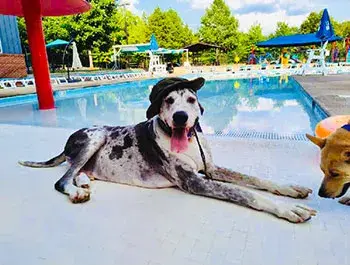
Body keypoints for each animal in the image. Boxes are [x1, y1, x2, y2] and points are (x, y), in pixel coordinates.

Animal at [17, 77, 316, 222]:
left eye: (191, 99)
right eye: (169, 100)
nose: (181, 117)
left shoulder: (211, 169)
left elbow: (254, 180)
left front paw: (290, 189)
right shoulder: (196, 181)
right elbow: (247, 193)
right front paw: (288, 209)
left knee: (77, 172)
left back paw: (83, 183)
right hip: (95, 136)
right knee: (61, 180)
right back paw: (75, 190)